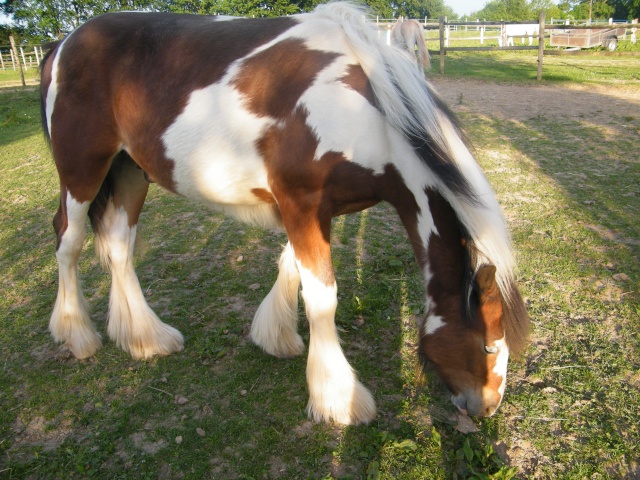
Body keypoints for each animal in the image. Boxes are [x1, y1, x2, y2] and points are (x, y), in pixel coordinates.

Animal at [41, 2, 528, 424]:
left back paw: (145, 338)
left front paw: (274, 335)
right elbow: (322, 297)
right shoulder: (301, 203)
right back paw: (76, 333)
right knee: (69, 240)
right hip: (83, 171)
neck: (368, 113)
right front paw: (337, 397)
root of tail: (64, 42)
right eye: (488, 346)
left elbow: (291, 267)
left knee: (119, 246)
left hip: (130, 171)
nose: (487, 407)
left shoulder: (318, 209)